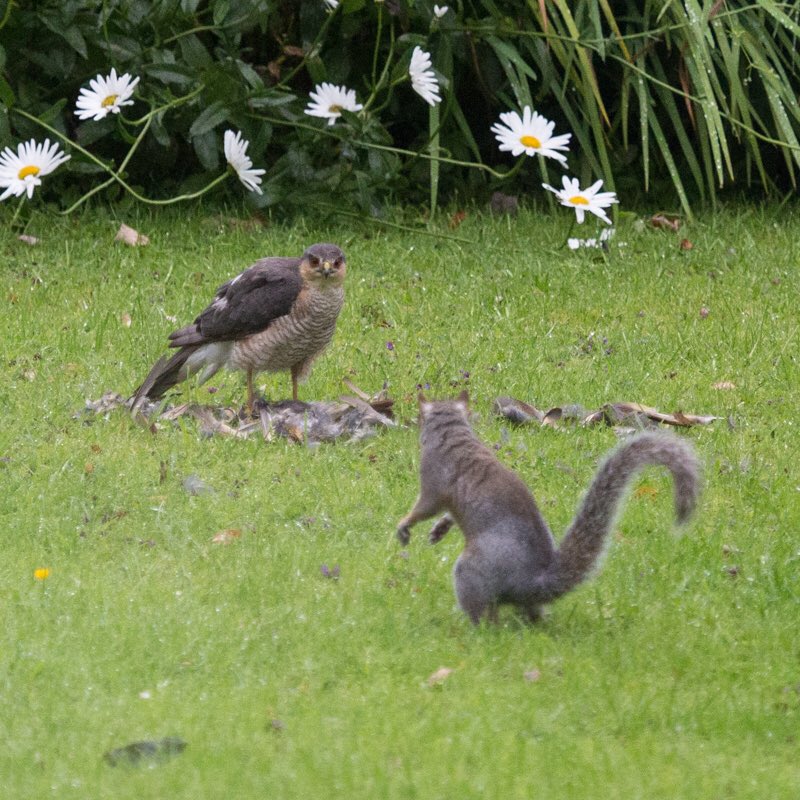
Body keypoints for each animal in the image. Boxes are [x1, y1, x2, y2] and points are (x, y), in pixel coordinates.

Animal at [396, 391, 700, 624]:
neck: (454, 434)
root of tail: (533, 583)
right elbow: (446, 512)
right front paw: (440, 528)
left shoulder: (434, 478)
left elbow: (425, 506)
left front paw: (405, 524)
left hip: (472, 572)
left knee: (484, 614)